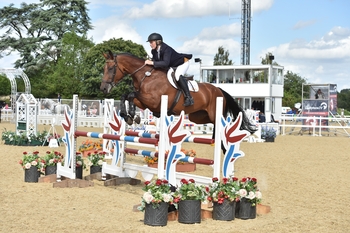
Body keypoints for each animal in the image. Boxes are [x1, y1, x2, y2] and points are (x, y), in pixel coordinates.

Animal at [100, 50, 256, 144]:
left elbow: (131, 95)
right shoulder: (144, 102)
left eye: (111, 68)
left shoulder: (153, 101)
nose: (103, 88)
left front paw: (130, 115)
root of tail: (219, 90)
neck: (146, 76)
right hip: (197, 116)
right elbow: (127, 96)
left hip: (214, 113)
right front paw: (129, 115)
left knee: (221, 125)